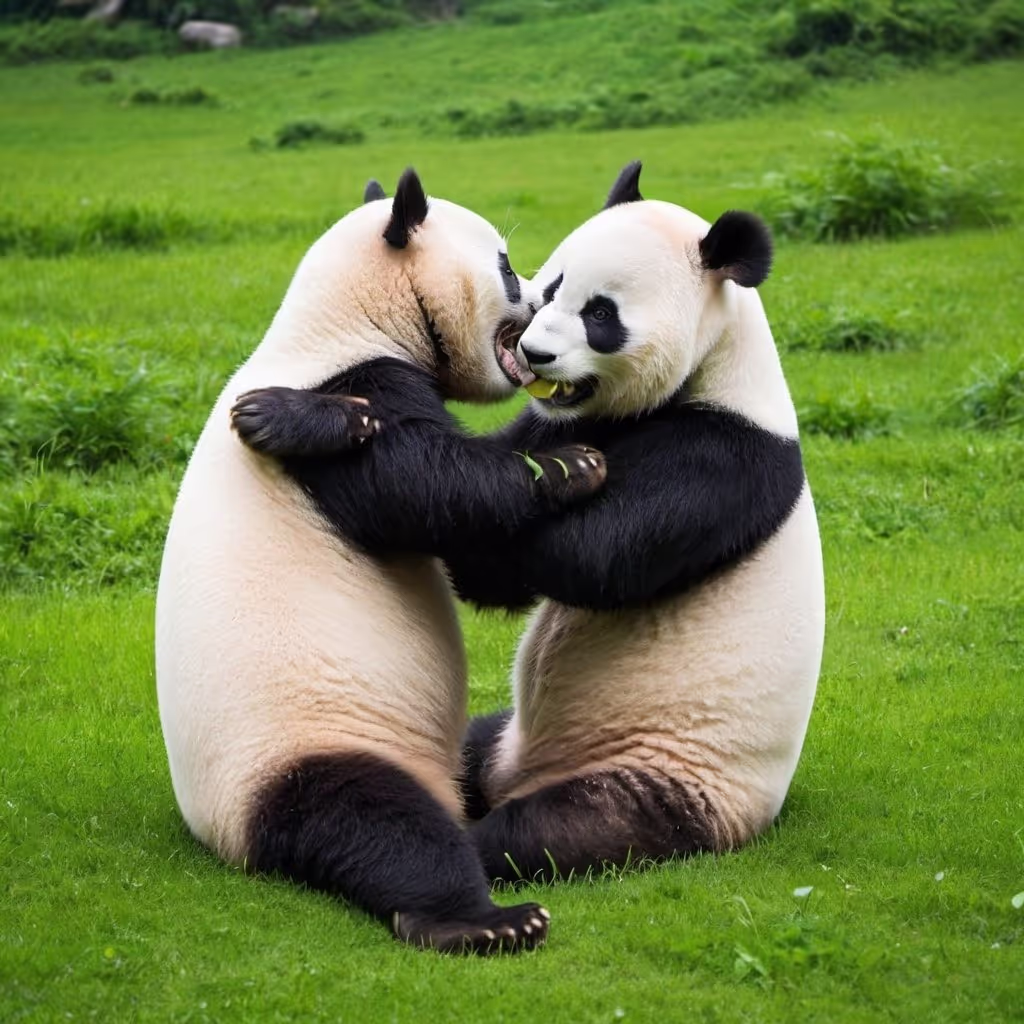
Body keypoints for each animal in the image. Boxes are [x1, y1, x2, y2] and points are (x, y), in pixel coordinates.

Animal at [154, 168, 605, 954]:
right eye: (505, 266)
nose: (539, 294)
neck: (345, 320)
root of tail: (227, 840)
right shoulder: (355, 382)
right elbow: (431, 484)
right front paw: (566, 466)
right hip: (306, 745)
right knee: (380, 822)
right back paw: (481, 921)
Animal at [230, 161, 825, 884]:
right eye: (552, 288)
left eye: (601, 315)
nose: (536, 355)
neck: (717, 366)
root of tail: (524, 774)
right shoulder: (564, 421)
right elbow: (491, 557)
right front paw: (298, 416)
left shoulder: (725, 457)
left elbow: (582, 556)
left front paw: (293, 417)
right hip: (504, 739)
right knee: (473, 747)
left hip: (674, 775)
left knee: (558, 827)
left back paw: (487, 841)